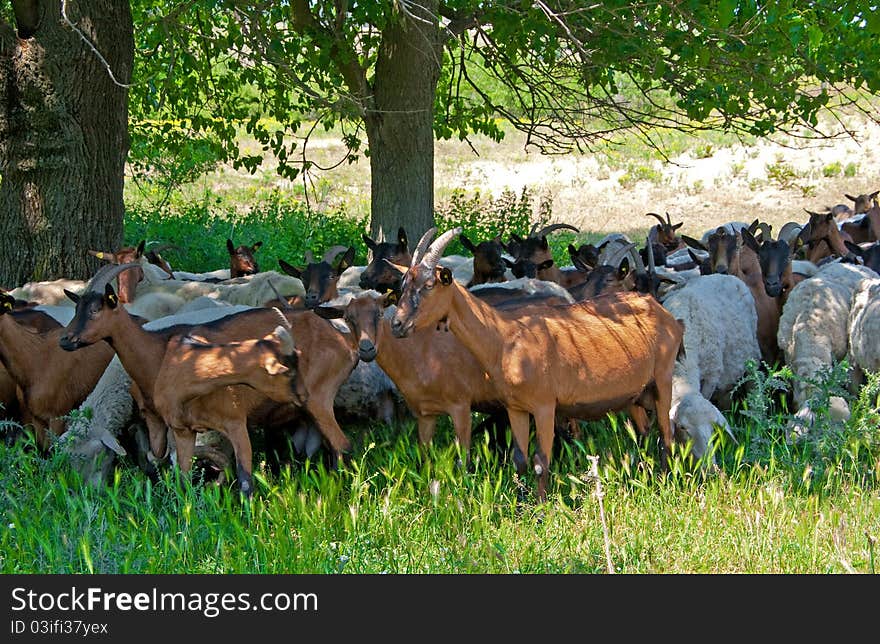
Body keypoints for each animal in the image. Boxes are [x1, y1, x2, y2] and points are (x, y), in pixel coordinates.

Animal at [388, 228, 684, 504]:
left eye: (429, 285)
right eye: (402, 285)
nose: (397, 325)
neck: (506, 339)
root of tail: (663, 312)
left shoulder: (545, 405)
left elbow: (541, 461)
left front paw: (542, 509)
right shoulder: (516, 408)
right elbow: (520, 458)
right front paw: (521, 505)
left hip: (662, 377)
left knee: (666, 433)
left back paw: (666, 482)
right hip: (636, 392)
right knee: (645, 431)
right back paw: (644, 475)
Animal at [660, 274, 764, 460]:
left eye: (712, 427)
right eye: (683, 427)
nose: (709, 463)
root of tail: (725, 275)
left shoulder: (711, 376)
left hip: (752, 355)